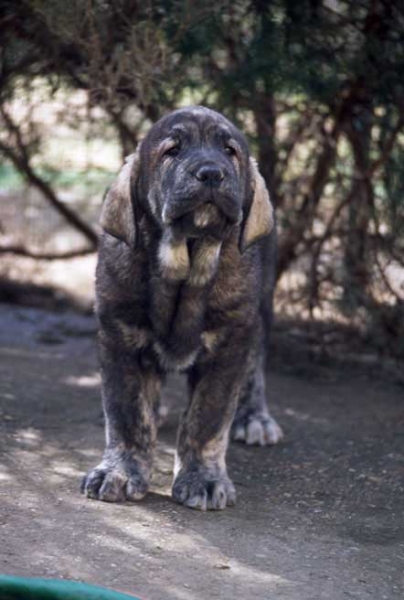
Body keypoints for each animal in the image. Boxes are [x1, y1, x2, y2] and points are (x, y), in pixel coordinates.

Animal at [81, 105, 282, 508]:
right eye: (171, 151)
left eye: (230, 151)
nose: (211, 173)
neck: (184, 268)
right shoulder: (119, 335)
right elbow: (126, 411)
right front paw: (120, 471)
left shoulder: (230, 343)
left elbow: (208, 416)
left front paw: (202, 478)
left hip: (261, 311)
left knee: (256, 366)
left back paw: (255, 417)